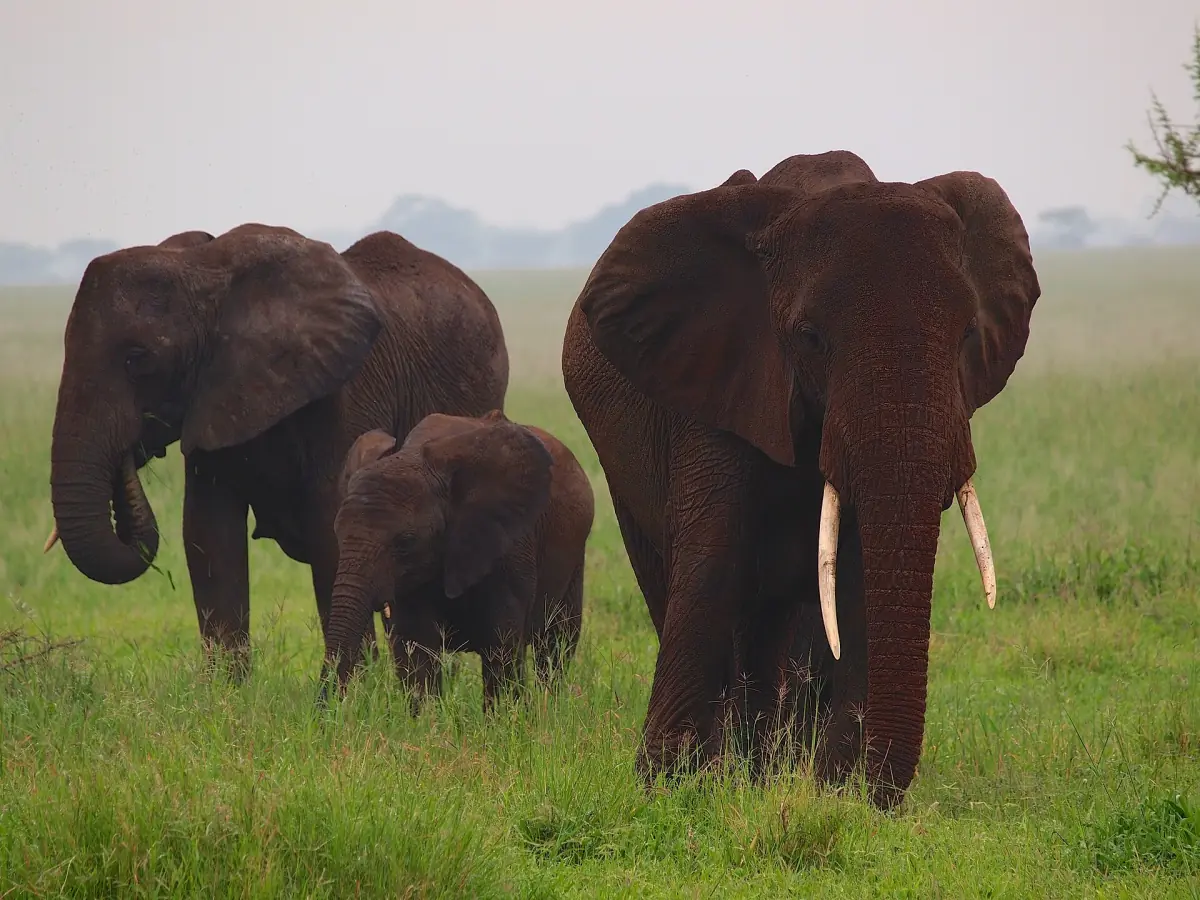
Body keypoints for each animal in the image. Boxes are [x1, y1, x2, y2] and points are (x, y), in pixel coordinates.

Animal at [45, 223, 510, 675]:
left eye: (137, 358)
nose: (130, 452)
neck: (203, 269)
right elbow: (207, 535)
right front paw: (227, 692)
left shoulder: (342, 394)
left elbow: (332, 530)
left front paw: (353, 689)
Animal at [320, 410, 595, 711]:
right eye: (337, 534)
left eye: (406, 542)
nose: (325, 713)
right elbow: (416, 648)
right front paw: (427, 720)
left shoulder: (510, 544)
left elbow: (501, 646)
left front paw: (506, 719)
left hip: (575, 556)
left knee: (556, 645)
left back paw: (552, 707)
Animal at [560, 150, 1040, 810]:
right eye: (810, 338)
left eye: (968, 334)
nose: (866, 793)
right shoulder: (720, 375)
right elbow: (713, 559)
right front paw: (664, 784)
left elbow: (858, 574)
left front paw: (831, 786)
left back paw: (759, 769)